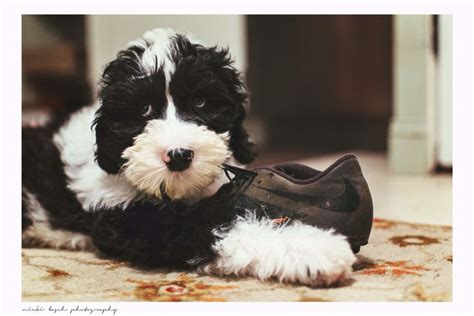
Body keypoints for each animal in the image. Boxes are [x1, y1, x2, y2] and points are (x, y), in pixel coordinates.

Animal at [22, 28, 356, 288]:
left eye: (200, 101)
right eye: (143, 109)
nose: (179, 156)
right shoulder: (127, 219)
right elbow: (212, 226)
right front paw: (311, 249)